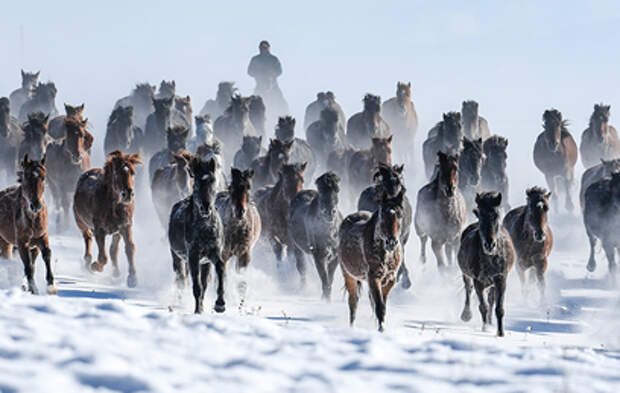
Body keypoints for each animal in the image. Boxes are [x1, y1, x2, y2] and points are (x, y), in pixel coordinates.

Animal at [0, 154, 55, 294]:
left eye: (43, 177)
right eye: (27, 176)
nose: (36, 205)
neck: (33, 220)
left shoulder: (41, 237)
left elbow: (46, 255)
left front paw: (51, 285)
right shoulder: (22, 243)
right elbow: (28, 266)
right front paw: (34, 289)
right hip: (5, 243)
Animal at [73, 149, 143, 284]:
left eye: (133, 172)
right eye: (116, 173)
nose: (128, 194)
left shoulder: (125, 226)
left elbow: (129, 248)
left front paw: (132, 278)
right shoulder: (99, 230)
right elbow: (103, 257)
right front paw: (95, 266)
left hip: (116, 232)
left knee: (113, 250)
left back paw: (116, 272)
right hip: (81, 222)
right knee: (87, 237)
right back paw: (88, 262)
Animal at [168, 156, 229, 312]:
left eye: (213, 181)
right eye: (196, 184)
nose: (205, 207)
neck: (205, 229)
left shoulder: (213, 254)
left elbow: (220, 269)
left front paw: (220, 304)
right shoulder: (193, 257)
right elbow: (197, 286)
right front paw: (198, 311)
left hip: (205, 263)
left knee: (204, 283)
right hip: (177, 257)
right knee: (181, 280)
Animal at [340, 190, 406, 330]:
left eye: (400, 215)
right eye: (382, 215)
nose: (391, 242)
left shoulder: (390, 279)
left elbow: (382, 305)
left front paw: (381, 326)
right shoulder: (374, 278)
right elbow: (379, 306)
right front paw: (381, 329)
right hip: (349, 276)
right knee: (353, 302)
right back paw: (351, 327)